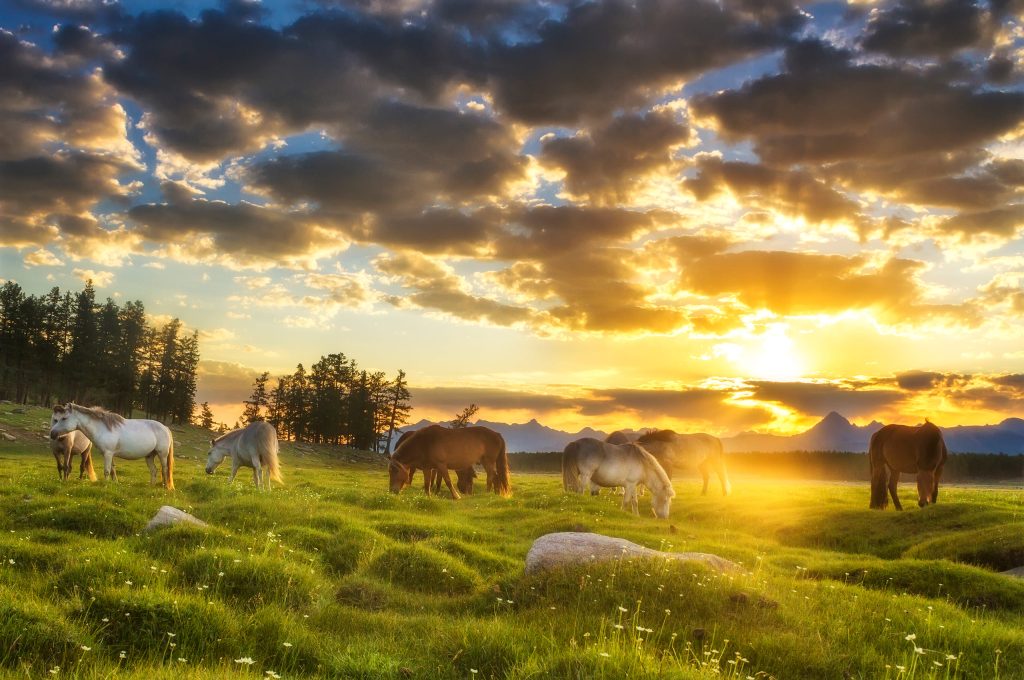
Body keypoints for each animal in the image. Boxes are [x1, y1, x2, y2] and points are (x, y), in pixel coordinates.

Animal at [48, 401, 176, 491]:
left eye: (64, 418)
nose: (52, 434)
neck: (103, 428)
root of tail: (165, 428)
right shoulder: (110, 454)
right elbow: (113, 470)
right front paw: (114, 484)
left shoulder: (108, 454)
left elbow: (107, 470)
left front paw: (105, 485)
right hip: (149, 456)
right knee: (154, 470)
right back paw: (151, 487)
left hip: (162, 454)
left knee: (165, 469)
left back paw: (165, 487)